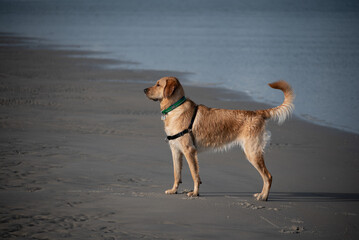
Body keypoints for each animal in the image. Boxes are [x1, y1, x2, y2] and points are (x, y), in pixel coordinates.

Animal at [143, 77, 296, 201]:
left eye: (158, 84)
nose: (144, 90)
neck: (175, 107)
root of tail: (258, 113)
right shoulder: (175, 150)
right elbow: (176, 173)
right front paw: (174, 190)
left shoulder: (189, 151)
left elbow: (194, 174)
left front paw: (195, 193)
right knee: (266, 177)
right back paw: (262, 194)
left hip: (252, 153)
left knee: (268, 177)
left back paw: (263, 197)